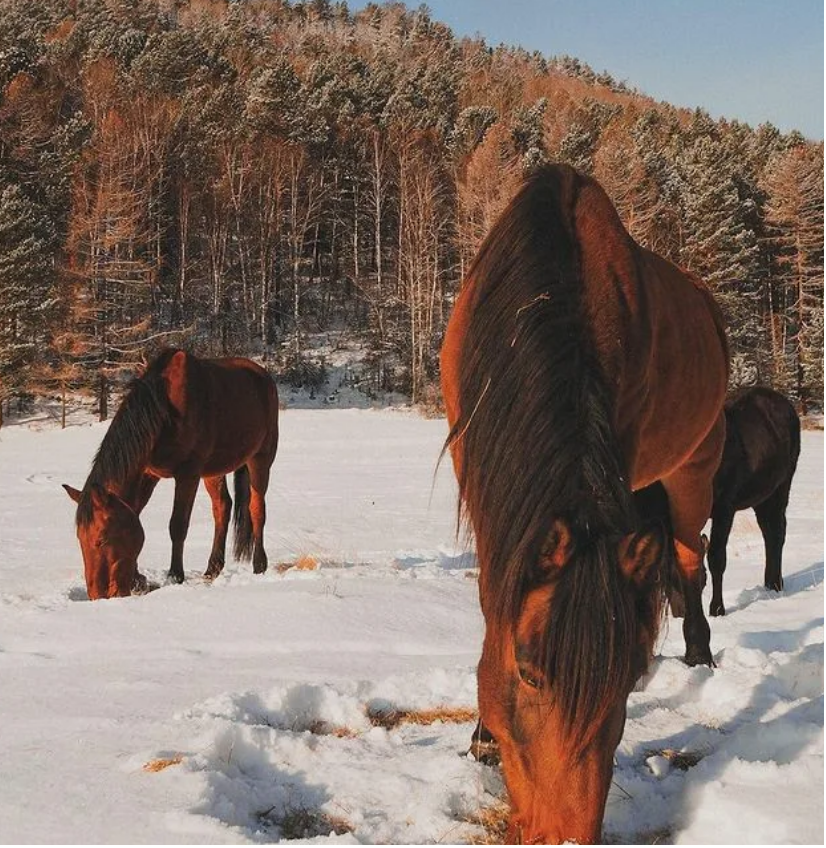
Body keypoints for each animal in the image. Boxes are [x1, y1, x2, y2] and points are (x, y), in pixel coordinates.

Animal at [62, 348, 280, 600]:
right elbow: (135, 513)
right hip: (213, 471)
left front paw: (175, 576)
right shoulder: (148, 473)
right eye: (80, 539)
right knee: (222, 507)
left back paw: (259, 565)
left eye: (102, 539)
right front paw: (138, 580)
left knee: (257, 509)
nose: (98, 595)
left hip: (261, 458)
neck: (164, 412)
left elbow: (178, 525)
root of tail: (263, 375)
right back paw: (212, 569)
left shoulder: (188, 473)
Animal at [440, 162, 724, 844]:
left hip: (692, 469)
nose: (567, 837)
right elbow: (494, 596)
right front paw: (483, 738)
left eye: (629, 681)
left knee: (690, 555)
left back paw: (699, 653)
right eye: (529, 672)